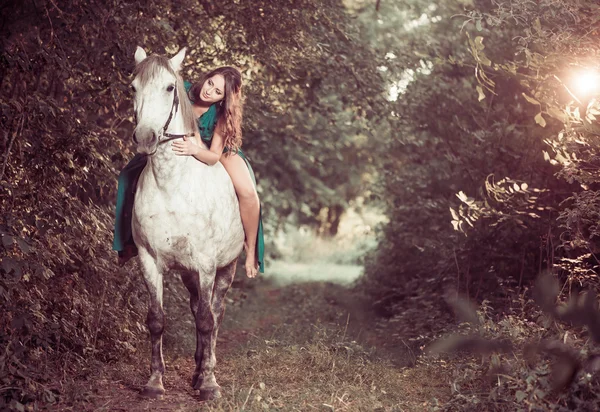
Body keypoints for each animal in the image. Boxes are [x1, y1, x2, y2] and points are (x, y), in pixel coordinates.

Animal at [131, 46, 244, 400]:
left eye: (170, 87)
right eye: (133, 88)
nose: (145, 137)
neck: (173, 186)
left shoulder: (207, 263)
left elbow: (208, 321)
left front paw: (208, 384)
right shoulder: (148, 260)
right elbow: (156, 319)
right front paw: (154, 382)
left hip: (225, 269)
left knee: (215, 313)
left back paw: (206, 369)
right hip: (188, 274)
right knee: (197, 308)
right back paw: (196, 368)